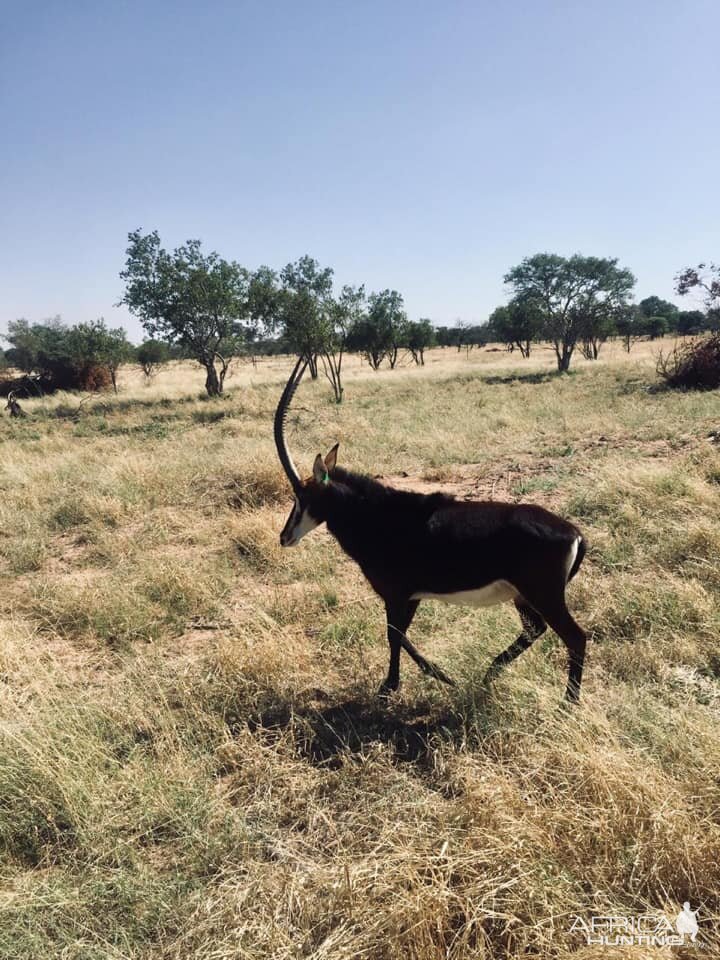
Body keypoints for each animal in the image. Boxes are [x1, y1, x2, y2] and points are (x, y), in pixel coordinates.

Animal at [272, 356, 588, 700]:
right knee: (535, 630)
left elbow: (394, 635)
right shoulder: (411, 596)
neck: (376, 515)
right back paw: (489, 674)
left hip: (543, 596)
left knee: (575, 637)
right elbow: (401, 635)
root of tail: (574, 533)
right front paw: (440, 675)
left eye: (301, 496)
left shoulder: (397, 594)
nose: (284, 537)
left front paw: (391, 687)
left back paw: (566, 702)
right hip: (524, 597)